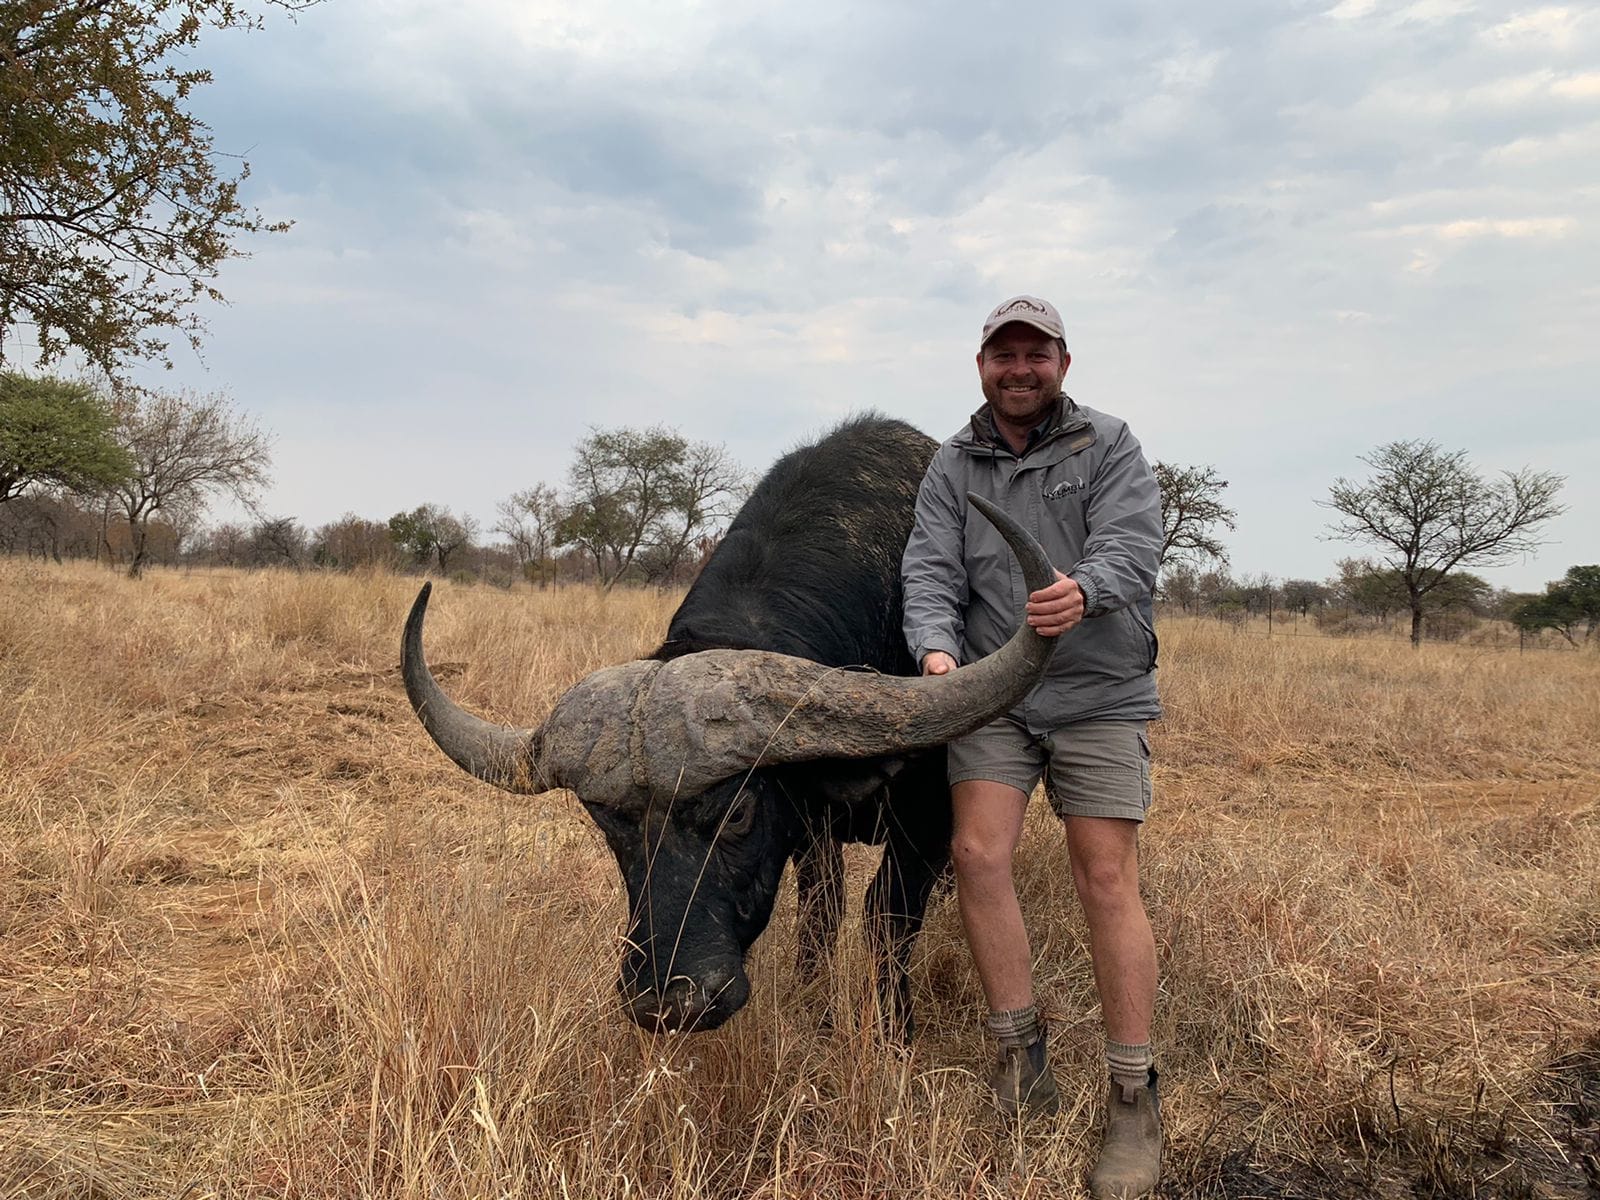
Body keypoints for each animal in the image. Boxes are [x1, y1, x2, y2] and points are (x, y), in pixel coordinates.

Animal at [402, 415, 1057, 1037]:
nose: (668, 1002)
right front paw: (814, 1007)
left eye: (737, 811)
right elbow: (822, 912)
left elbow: (887, 917)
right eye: (607, 822)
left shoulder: (926, 822)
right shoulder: (810, 828)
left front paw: (896, 1034)